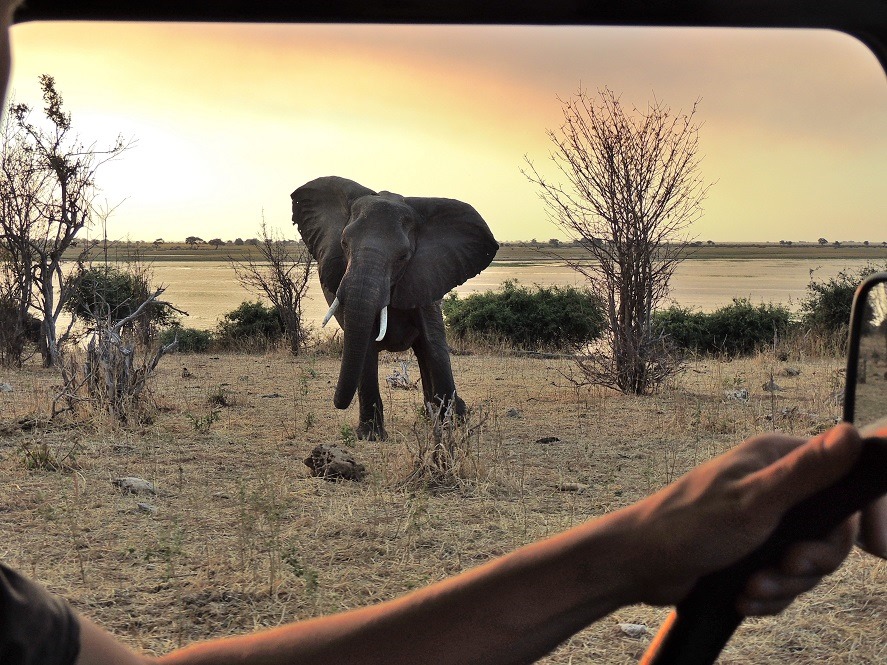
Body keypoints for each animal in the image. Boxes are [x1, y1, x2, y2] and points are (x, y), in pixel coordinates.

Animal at [291, 176, 498, 440]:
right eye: (344, 244)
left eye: (403, 256)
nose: (337, 403)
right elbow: (366, 348)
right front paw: (370, 436)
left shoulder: (426, 276)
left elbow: (434, 343)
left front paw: (451, 427)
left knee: (424, 351)